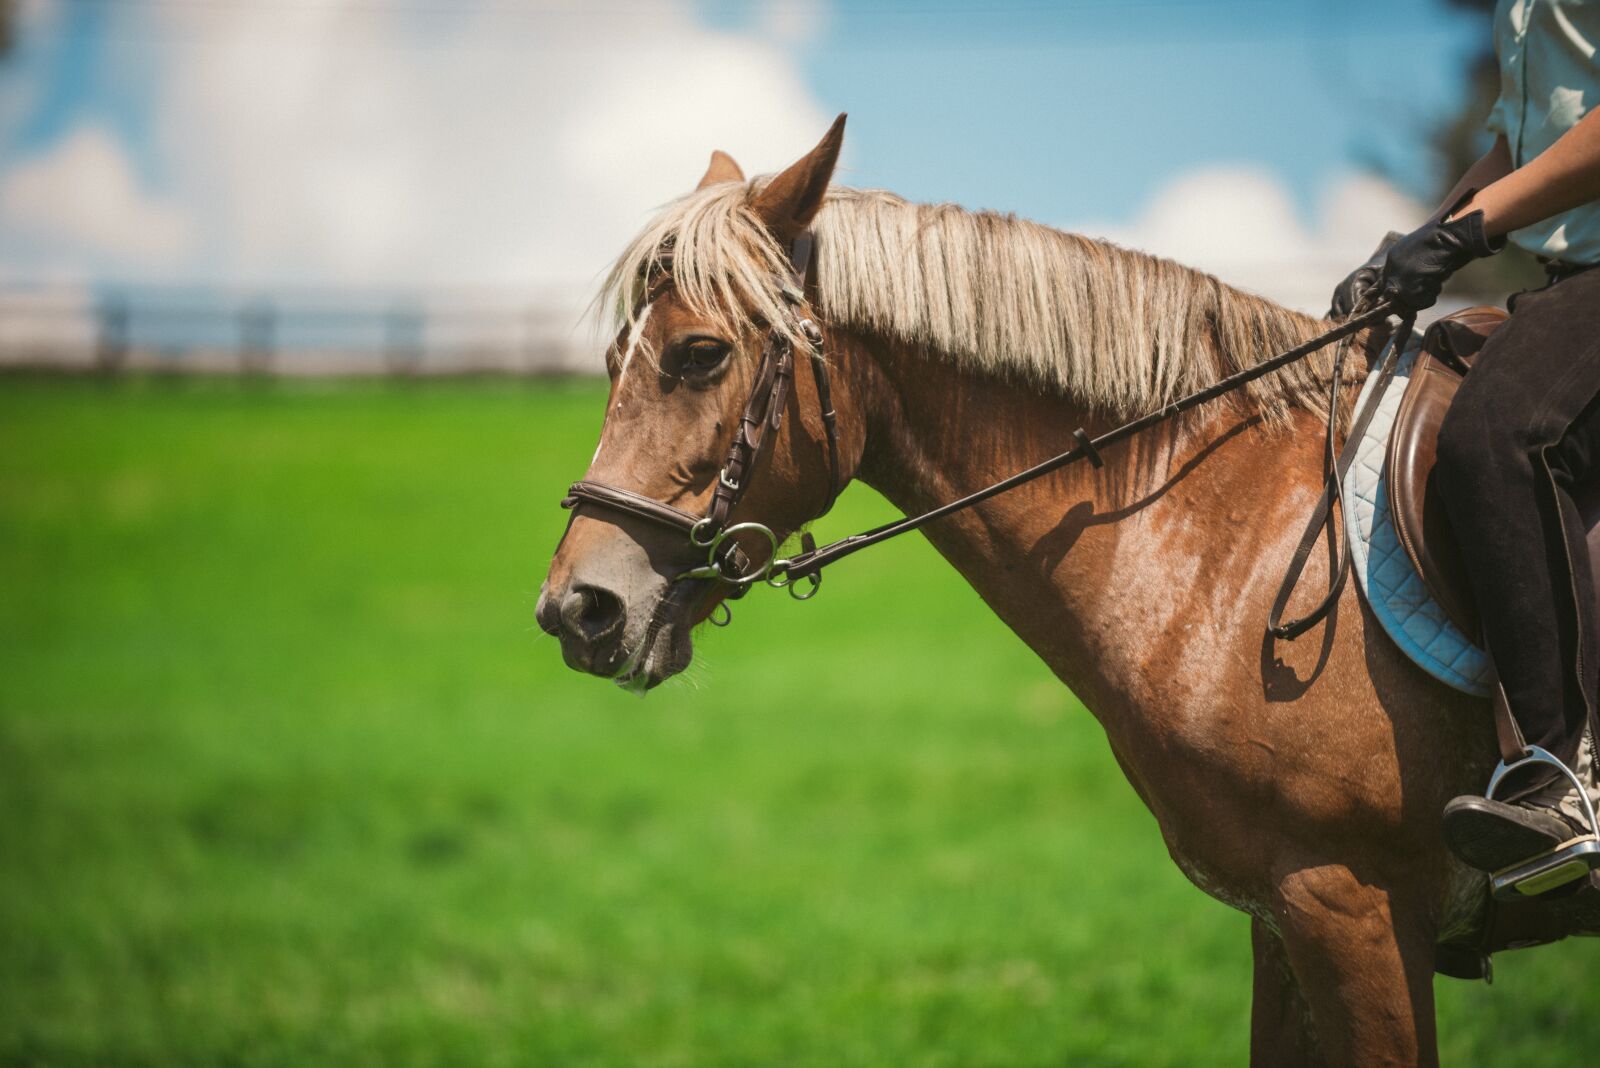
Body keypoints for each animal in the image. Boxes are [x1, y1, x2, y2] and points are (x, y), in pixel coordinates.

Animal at [535, 116, 1584, 1065]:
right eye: (612, 359)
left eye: (700, 354)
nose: (576, 610)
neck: (1230, 539)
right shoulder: (1286, 914)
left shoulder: (1355, 906)